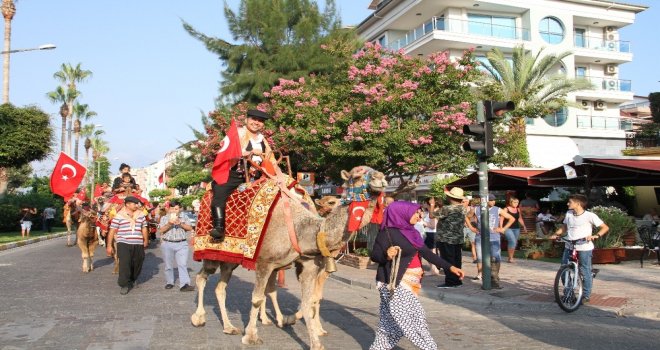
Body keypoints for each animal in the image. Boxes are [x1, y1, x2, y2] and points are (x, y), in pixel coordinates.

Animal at [191, 165, 386, 348]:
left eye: (375, 170)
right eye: (358, 175)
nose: (381, 179)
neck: (303, 229)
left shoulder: (309, 266)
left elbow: (308, 302)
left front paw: (315, 342)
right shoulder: (264, 262)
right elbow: (257, 298)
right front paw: (251, 337)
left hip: (229, 261)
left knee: (220, 287)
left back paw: (229, 327)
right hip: (212, 253)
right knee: (201, 277)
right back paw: (199, 318)